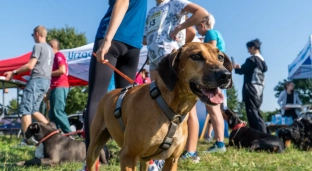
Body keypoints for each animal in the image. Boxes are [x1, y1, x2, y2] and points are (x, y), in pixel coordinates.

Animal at [86, 42, 233, 170]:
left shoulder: (172, 160)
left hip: (144, 159)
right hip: (94, 147)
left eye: (220, 57)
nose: (226, 75)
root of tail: (108, 93)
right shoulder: (128, 155)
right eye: (196, 56)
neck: (173, 110)